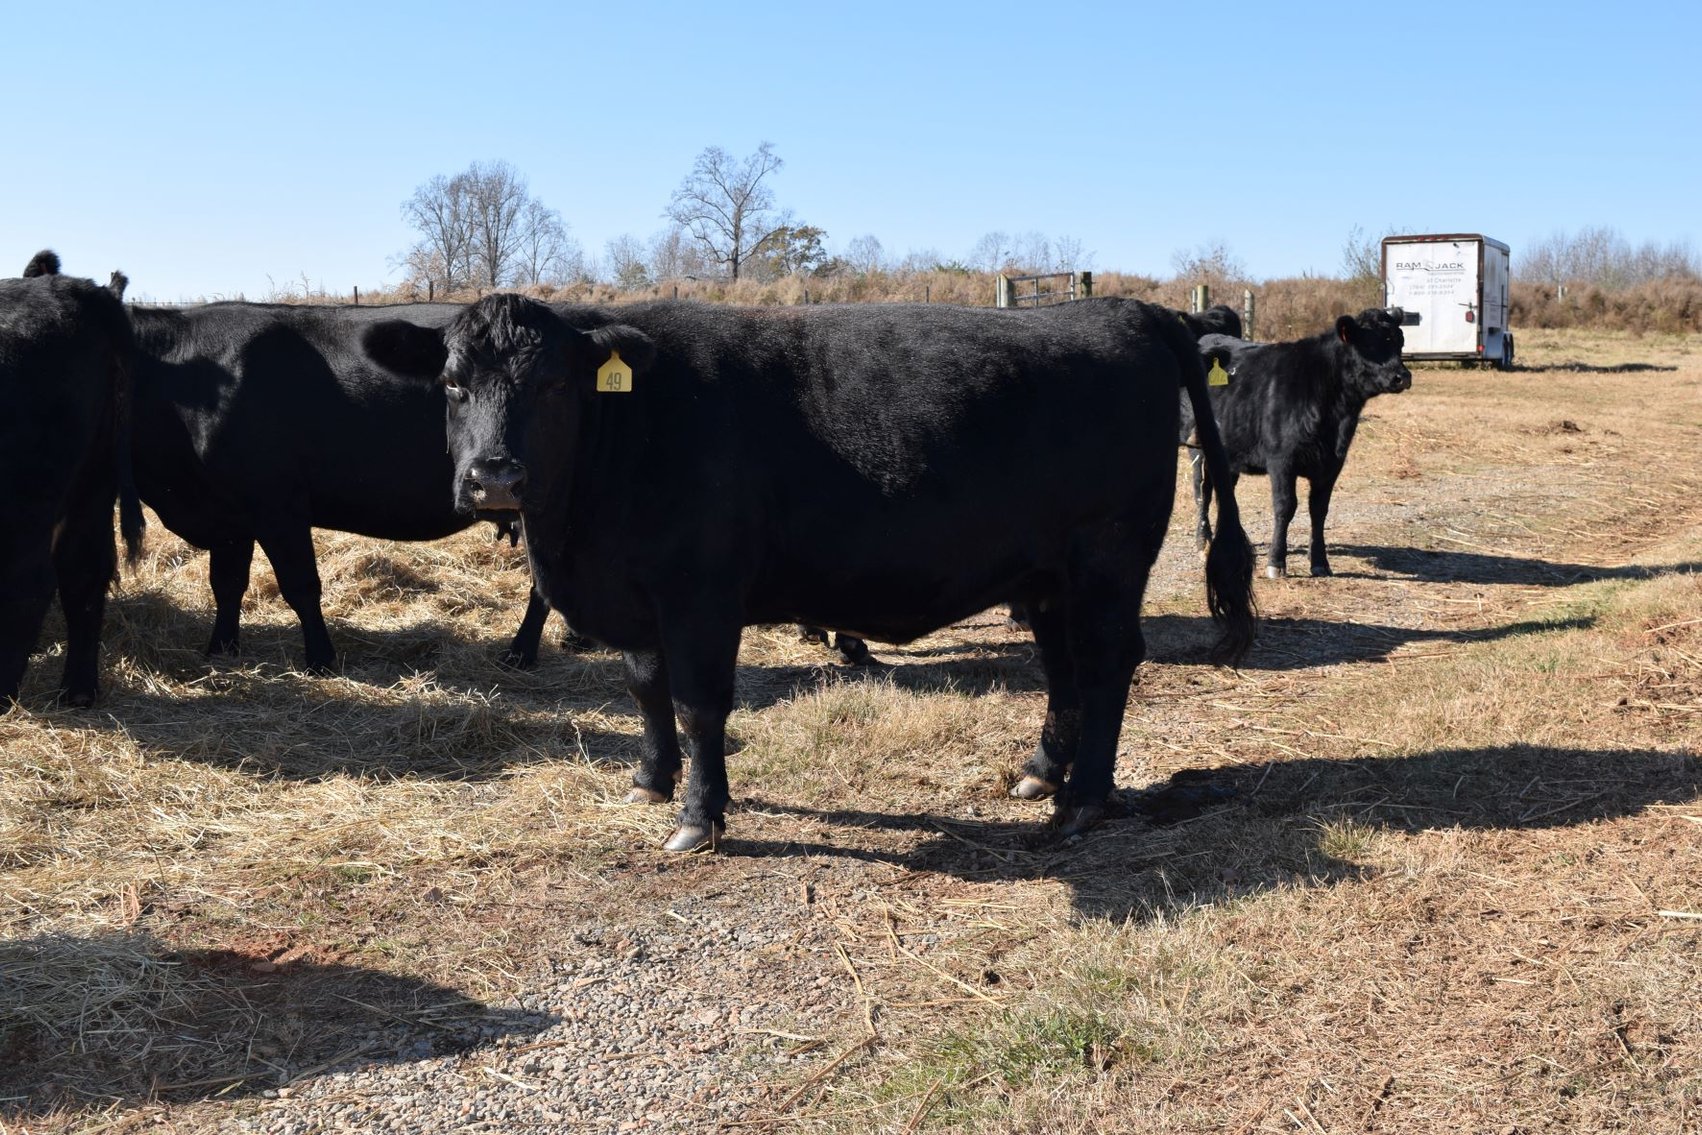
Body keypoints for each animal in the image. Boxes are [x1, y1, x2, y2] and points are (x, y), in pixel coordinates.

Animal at [127, 301, 556, 671]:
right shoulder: (229, 517)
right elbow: (227, 584)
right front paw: (220, 650)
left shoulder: (278, 506)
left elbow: (300, 586)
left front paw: (320, 659)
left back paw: (520, 653)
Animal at [362, 294, 1256, 852]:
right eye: (452, 383)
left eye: (553, 384)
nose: (494, 477)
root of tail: (1126, 308)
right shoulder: (641, 593)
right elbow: (645, 689)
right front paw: (650, 779)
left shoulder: (700, 594)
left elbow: (698, 705)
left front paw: (698, 816)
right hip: (1046, 575)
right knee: (1063, 667)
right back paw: (1042, 773)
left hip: (1108, 558)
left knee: (1107, 662)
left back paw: (1085, 801)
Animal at [1182, 308, 1412, 578]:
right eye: (1368, 343)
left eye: (1399, 342)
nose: (1402, 377)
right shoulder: (1282, 460)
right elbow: (1285, 506)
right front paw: (1276, 562)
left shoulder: (1332, 463)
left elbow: (1319, 509)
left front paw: (1320, 562)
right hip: (1198, 449)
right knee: (1202, 492)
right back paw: (1204, 544)